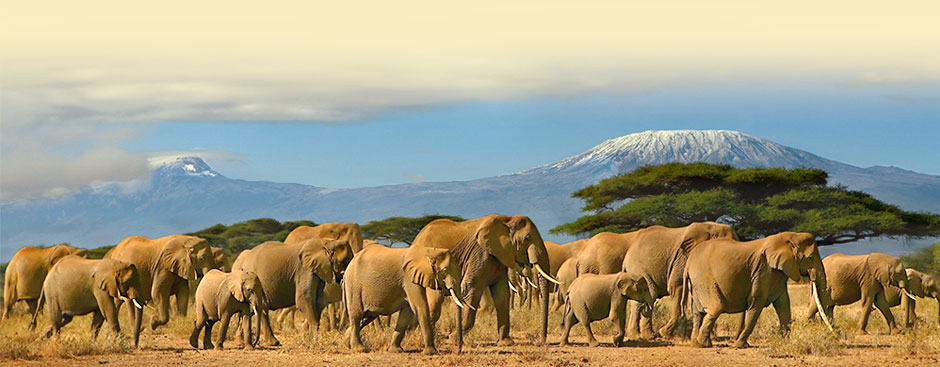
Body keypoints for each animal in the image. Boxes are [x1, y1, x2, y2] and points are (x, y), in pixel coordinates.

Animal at [410, 214, 560, 350]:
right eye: (527, 238)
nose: (541, 341)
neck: (507, 220)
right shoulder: (480, 254)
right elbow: (472, 288)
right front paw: (453, 339)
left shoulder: (499, 257)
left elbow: (502, 294)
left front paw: (506, 343)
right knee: (435, 302)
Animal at [684, 231, 828, 350]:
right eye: (811, 258)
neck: (789, 237)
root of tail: (688, 262)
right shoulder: (762, 271)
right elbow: (756, 304)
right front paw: (739, 346)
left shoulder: (777, 274)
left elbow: (783, 305)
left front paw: (785, 343)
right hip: (703, 277)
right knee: (715, 308)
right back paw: (701, 344)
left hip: (697, 282)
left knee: (698, 312)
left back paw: (696, 343)